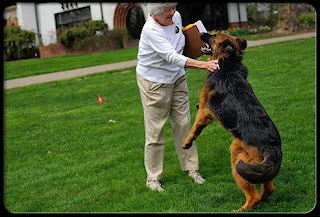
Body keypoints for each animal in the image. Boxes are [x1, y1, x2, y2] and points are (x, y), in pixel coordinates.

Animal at [182, 32, 282, 212]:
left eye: (214, 36)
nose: (202, 33)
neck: (229, 62)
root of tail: (273, 147)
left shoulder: (204, 111)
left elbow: (194, 128)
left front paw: (187, 142)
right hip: (257, 170)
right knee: (269, 188)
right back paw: (264, 200)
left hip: (237, 159)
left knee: (253, 196)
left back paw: (242, 209)